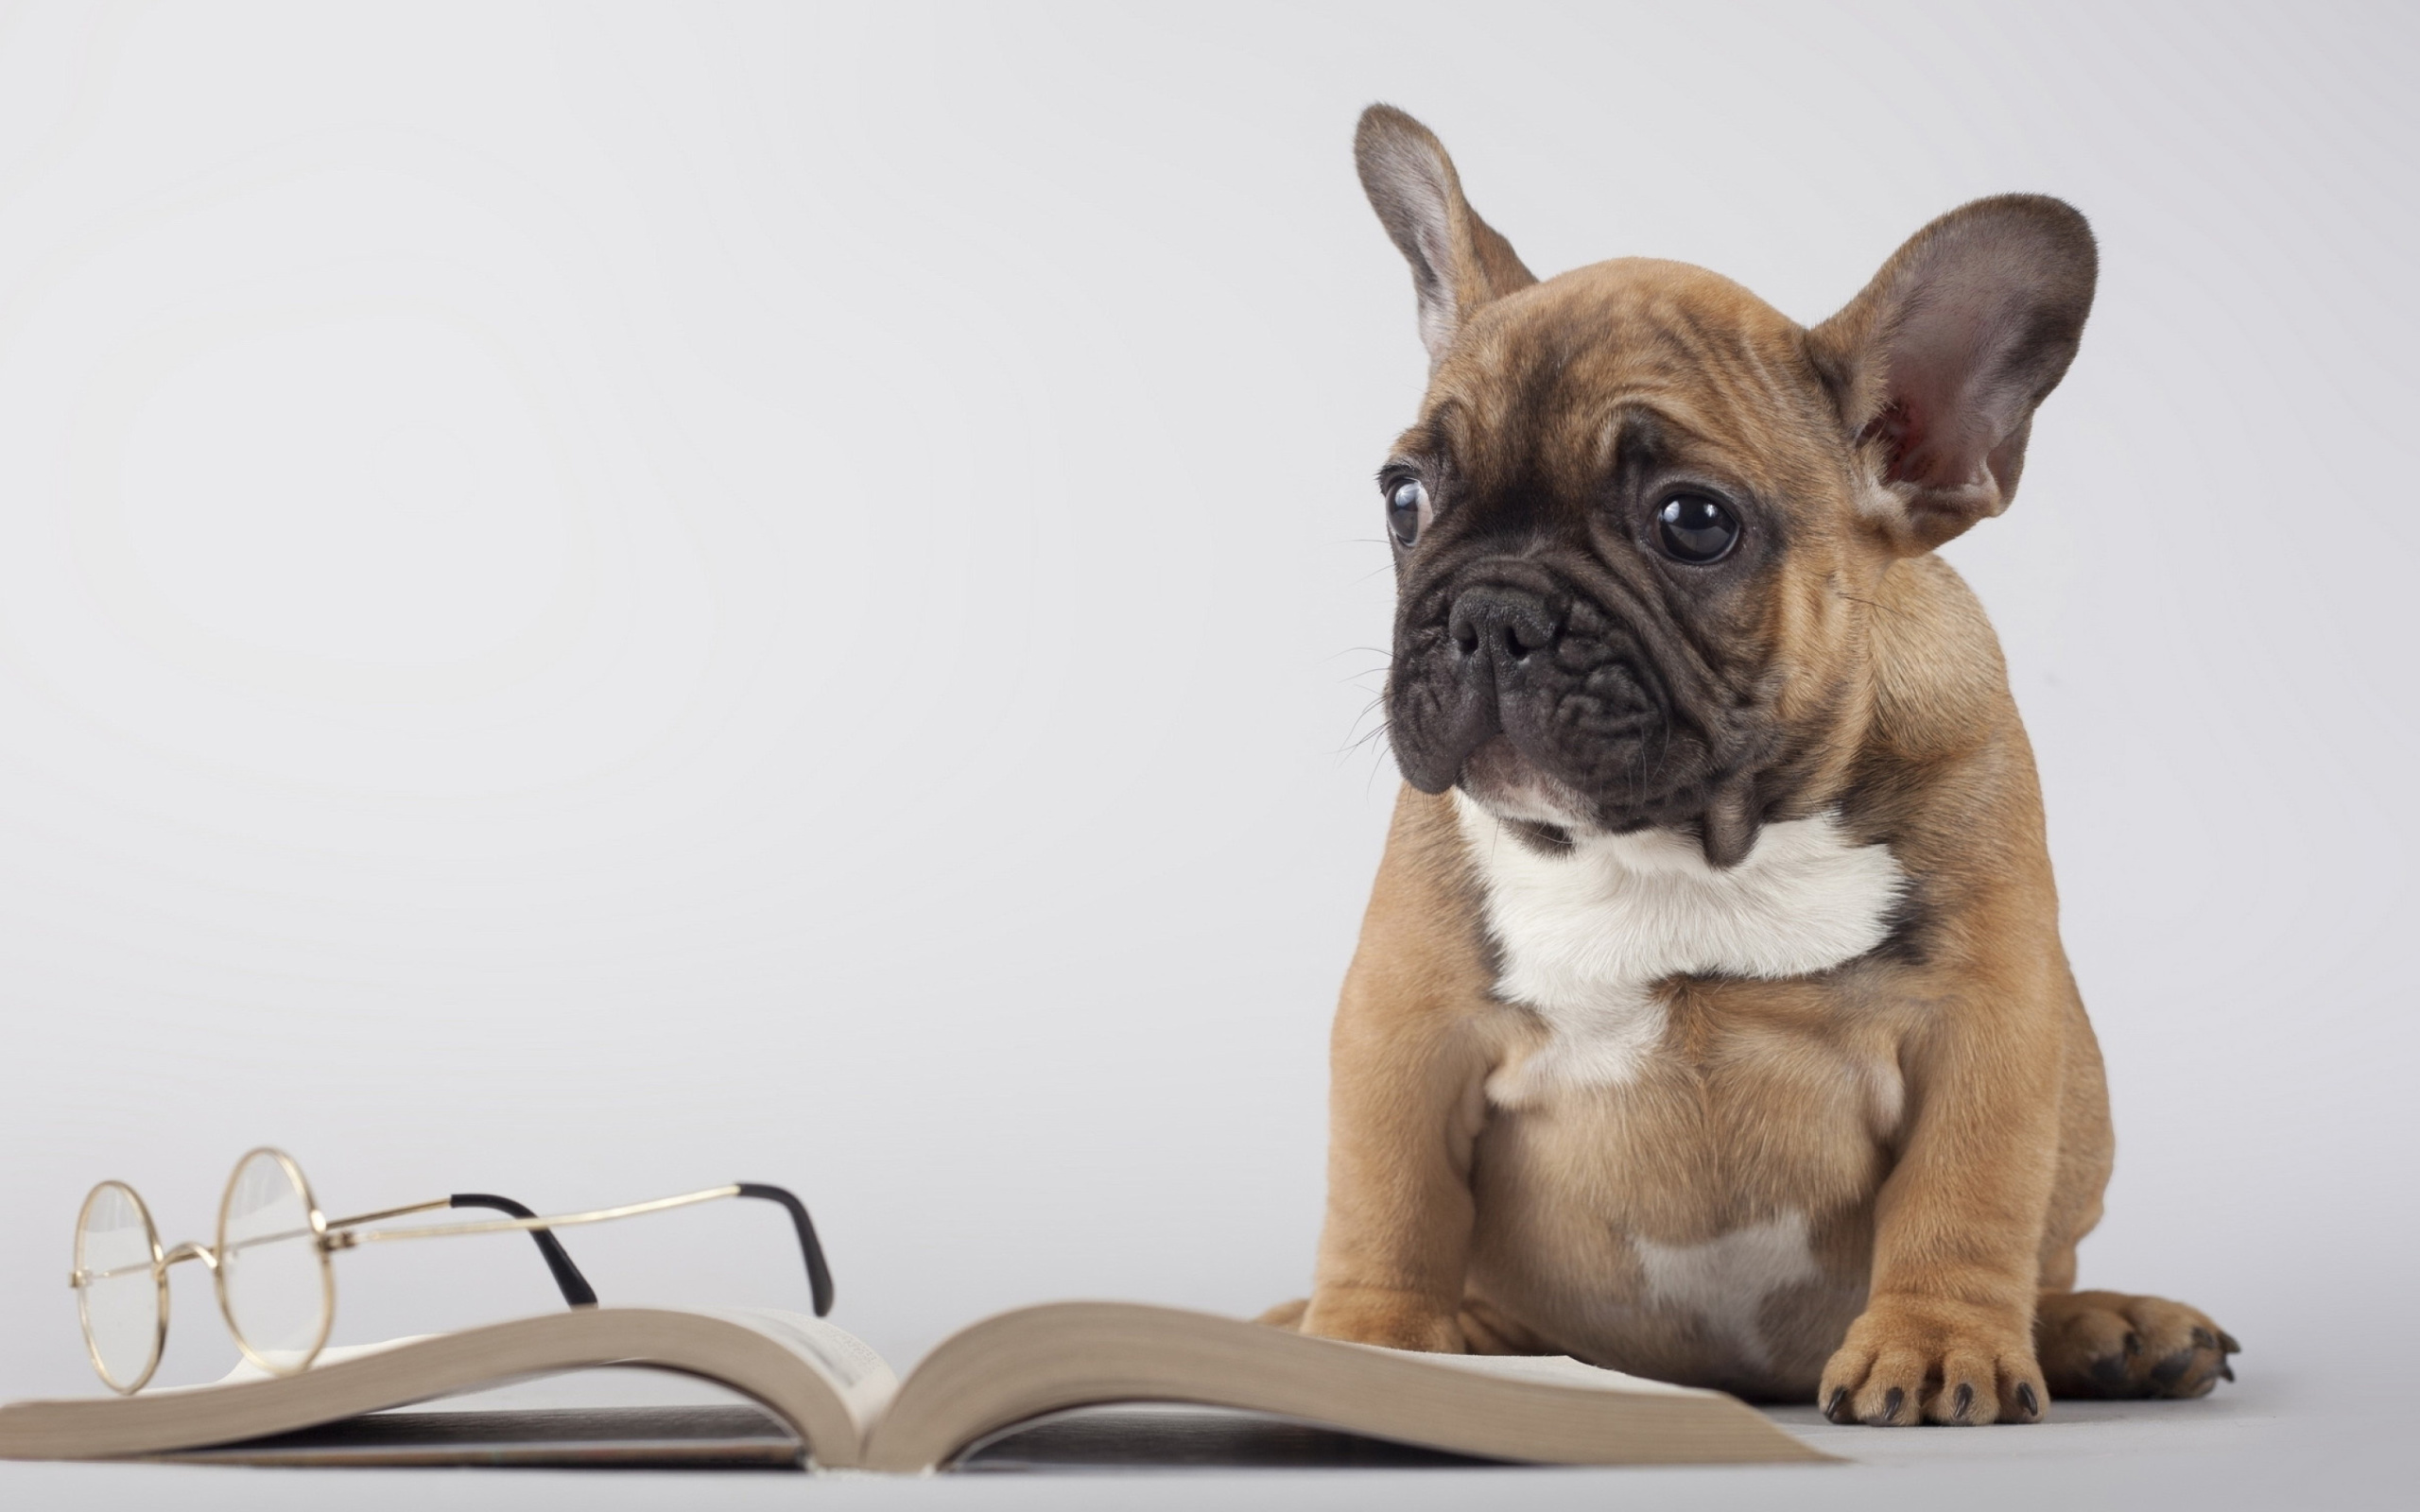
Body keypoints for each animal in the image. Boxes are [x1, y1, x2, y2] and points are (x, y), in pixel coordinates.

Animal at [1277, 109, 2236, 1422]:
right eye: (1405, 497)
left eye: (1693, 522)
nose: (1490, 612)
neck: (1687, 842)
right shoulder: (1404, 1023)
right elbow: (1388, 1199)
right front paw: (1373, 1346)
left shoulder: (1986, 1024)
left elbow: (1964, 1196)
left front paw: (1935, 1341)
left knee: (2039, 1259)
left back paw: (2106, 1326)